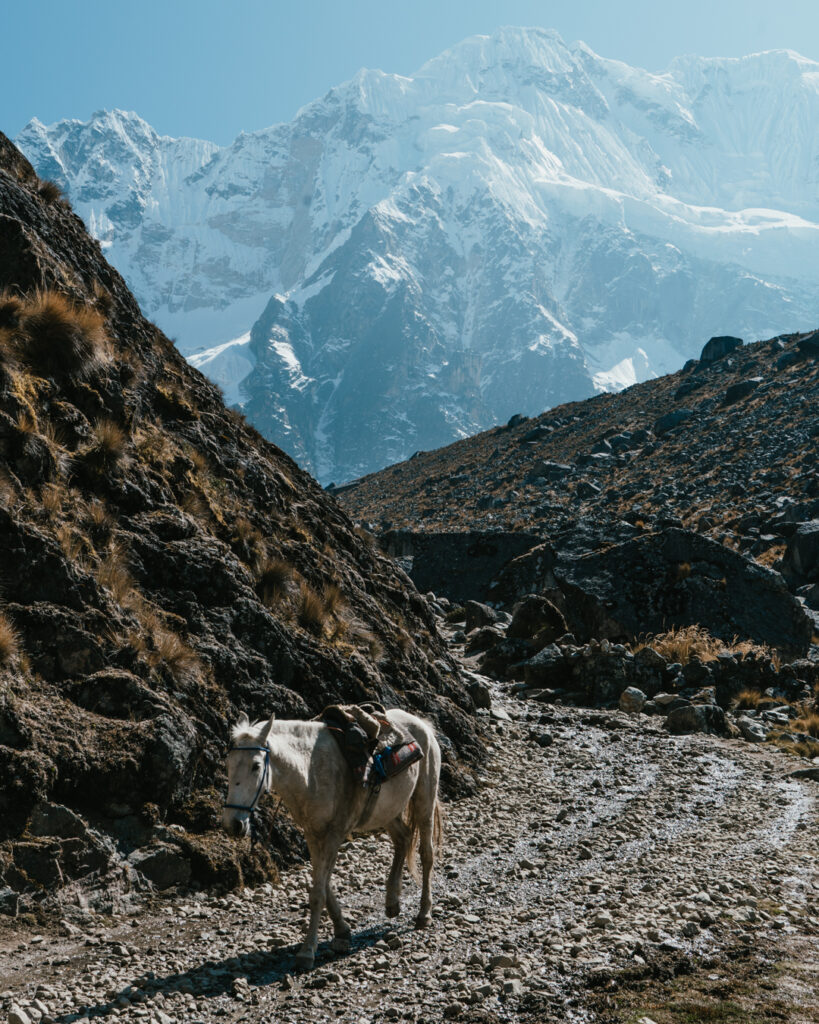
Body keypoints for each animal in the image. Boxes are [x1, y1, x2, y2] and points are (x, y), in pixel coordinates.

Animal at [222, 708, 442, 970]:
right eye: (228, 764)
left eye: (256, 766)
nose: (234, 824)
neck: (309, 771)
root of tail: (423, 724)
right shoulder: (313, 834)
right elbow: (323, 885)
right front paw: (342, 931)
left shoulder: (334, 834)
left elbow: (318, 892)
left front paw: (307, 951)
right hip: (388, 810)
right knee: (403, 839)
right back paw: (392, 903)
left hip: (424, 801)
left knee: (426, 854)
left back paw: (424, 914)